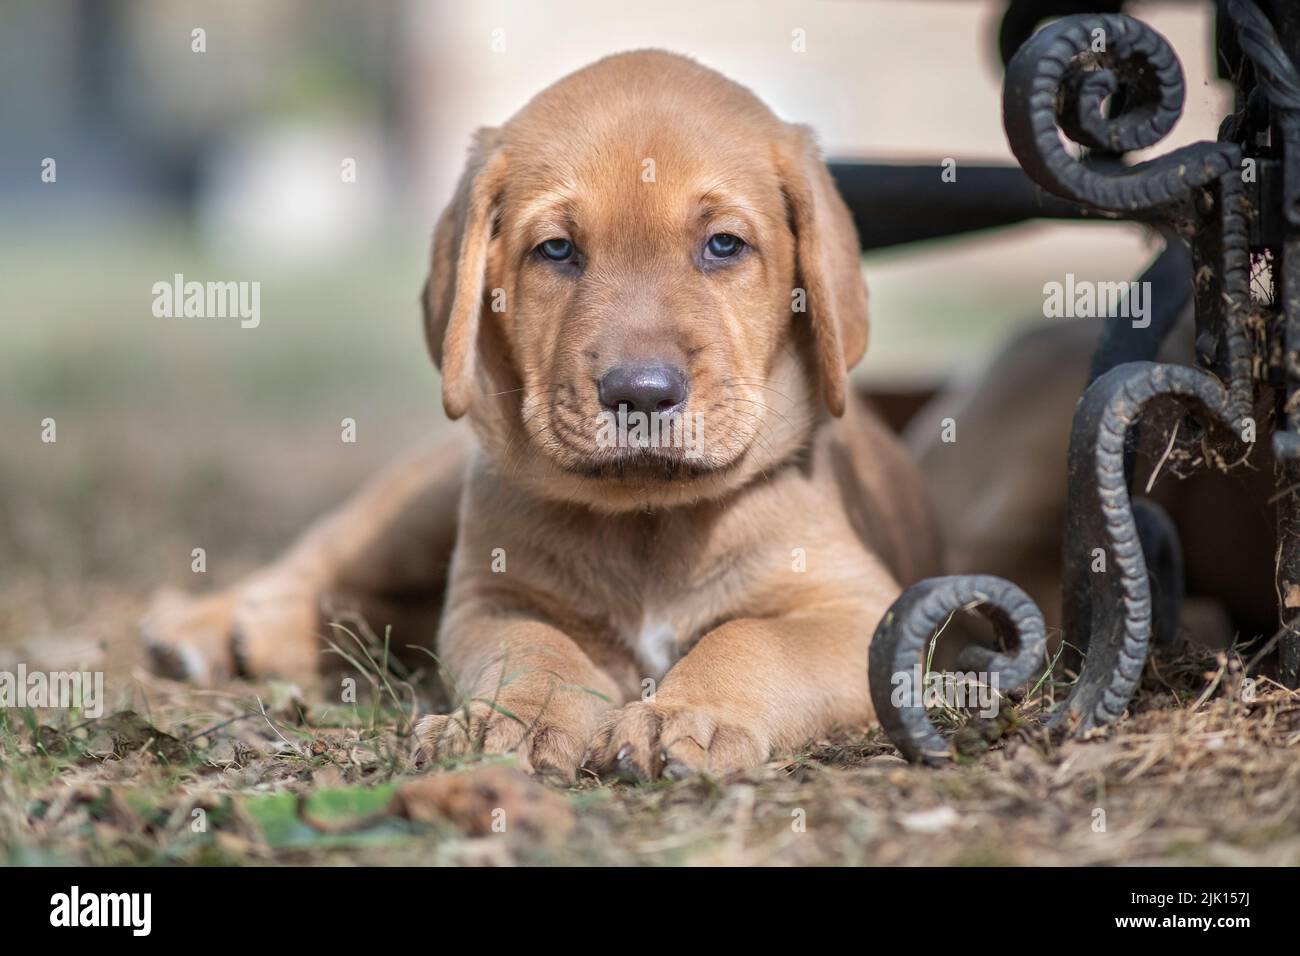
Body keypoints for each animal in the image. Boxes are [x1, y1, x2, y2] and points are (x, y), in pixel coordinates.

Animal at [139, 52, 935, 780]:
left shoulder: (856, 609)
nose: (641, 393)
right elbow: (535, 647)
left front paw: (689, 712)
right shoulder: (491, 597)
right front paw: (511, 719)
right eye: (556, 249)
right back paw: (202, 627)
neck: (649, 522)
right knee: (313, 561)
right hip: (413, 506)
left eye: (723, 245)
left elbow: (750, 640)